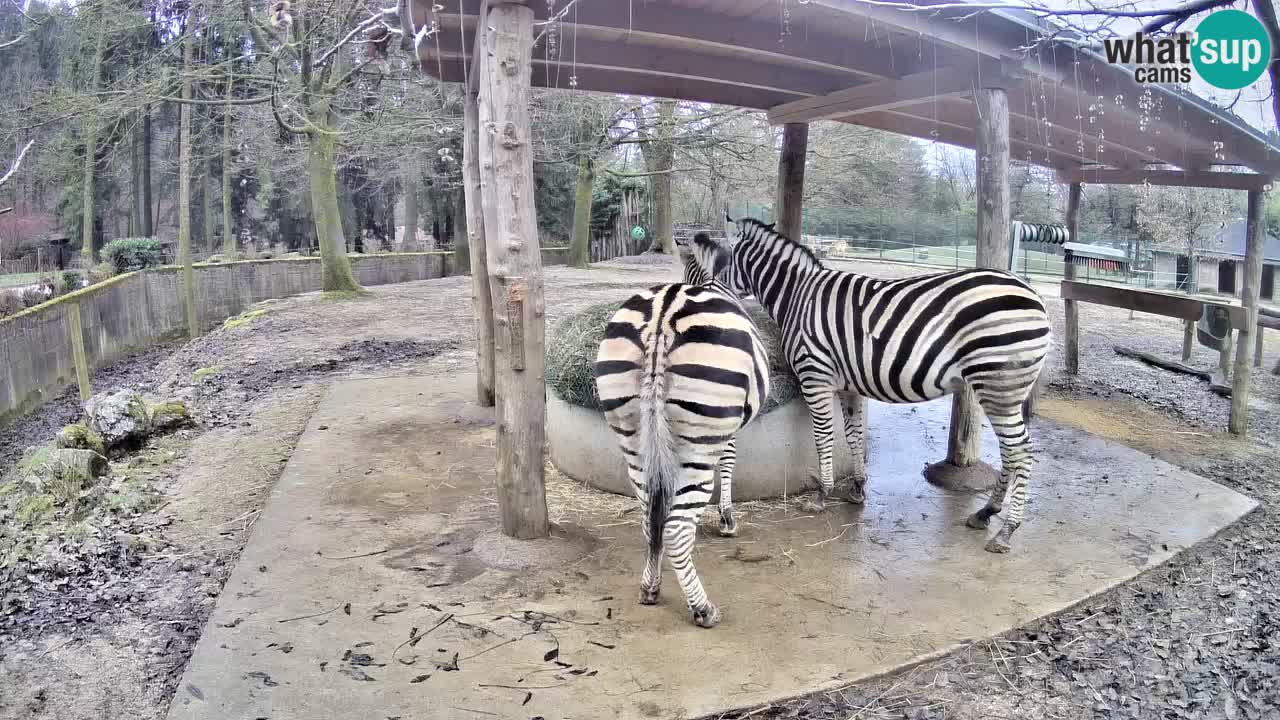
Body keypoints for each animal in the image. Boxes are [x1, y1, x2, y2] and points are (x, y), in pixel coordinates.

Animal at [591, 233, 768, 625]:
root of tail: (662, 313)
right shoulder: (728, 428)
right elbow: (729, 462)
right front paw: (727, 519)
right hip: (699, 442)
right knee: (675, 527)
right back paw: (703, 608)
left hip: (632, 437)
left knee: (649, 517)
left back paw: (650, 588)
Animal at [711, 215, 1049, 550]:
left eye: (723, 258)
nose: (715, 296)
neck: (798, 296)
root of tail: (1034, 295)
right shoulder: (847, 385)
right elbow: (854, 436)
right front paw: (857, 489)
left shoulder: (814, 375)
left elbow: (823, 437)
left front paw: (820, 495)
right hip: (1003, 389)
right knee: (1010, 450)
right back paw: (986, 513)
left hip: (998, 383)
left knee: (1021, 450)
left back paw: (1006, 531)